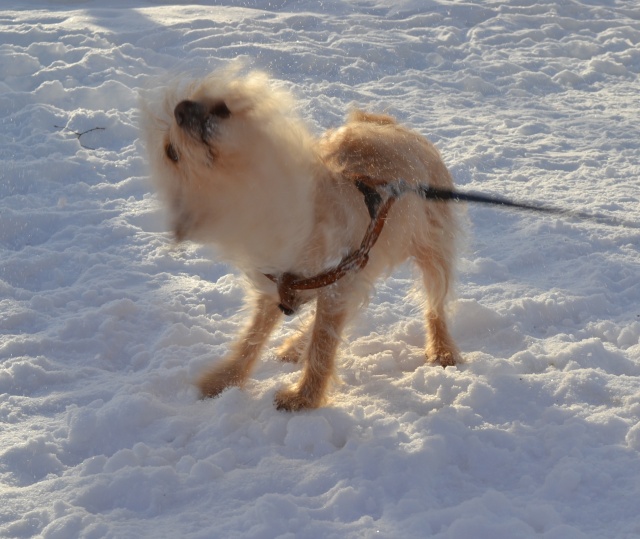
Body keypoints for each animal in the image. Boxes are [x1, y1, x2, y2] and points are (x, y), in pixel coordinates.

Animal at [141, 66, 461, 411]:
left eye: (221, 109)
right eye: (171, 152)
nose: (182, 108)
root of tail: (390, 125)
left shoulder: (336, 285)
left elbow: (323, 345)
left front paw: (304, 397)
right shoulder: (279, 287)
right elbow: (252, 337)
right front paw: (225, 380)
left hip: (433, 250)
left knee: (435, 305)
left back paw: (442, 349)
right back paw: (295, 345)